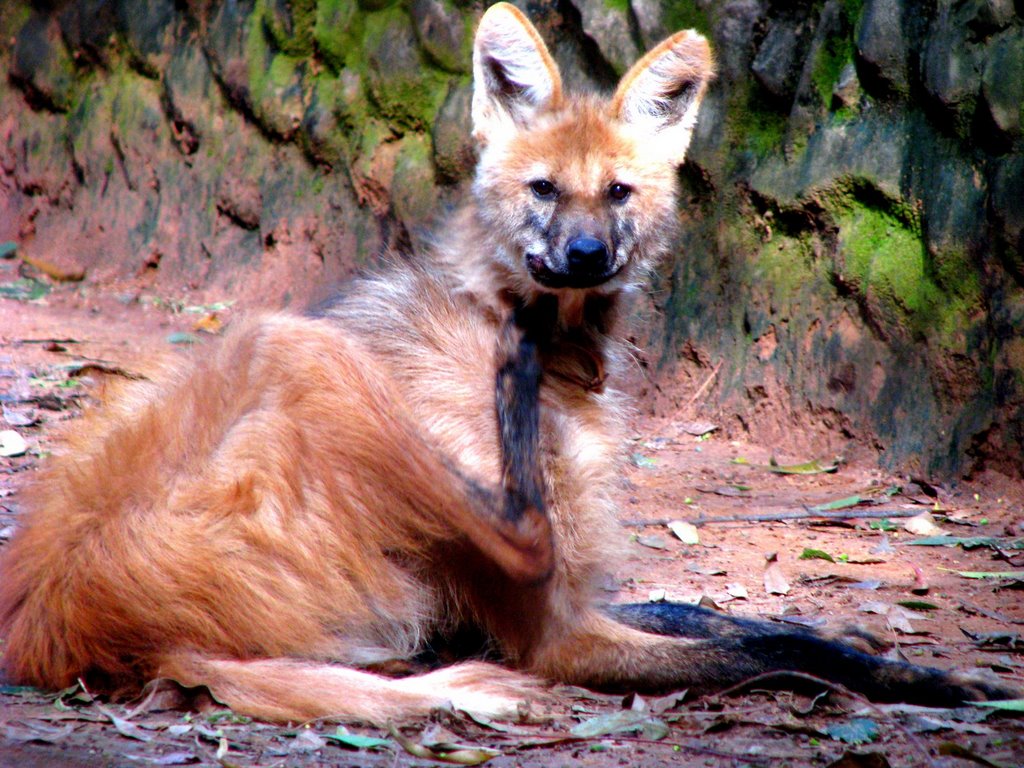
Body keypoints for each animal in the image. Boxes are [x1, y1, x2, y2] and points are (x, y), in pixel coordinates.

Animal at [0, 3, 1015, 724]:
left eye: (618, 192)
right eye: (543, 191)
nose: (585, 256)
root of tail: (68, 625)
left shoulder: (583, 597)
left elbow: (725, 617)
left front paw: (874, 644)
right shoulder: (553, 633)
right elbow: (758, 653)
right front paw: (928, 683)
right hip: (305, 352)